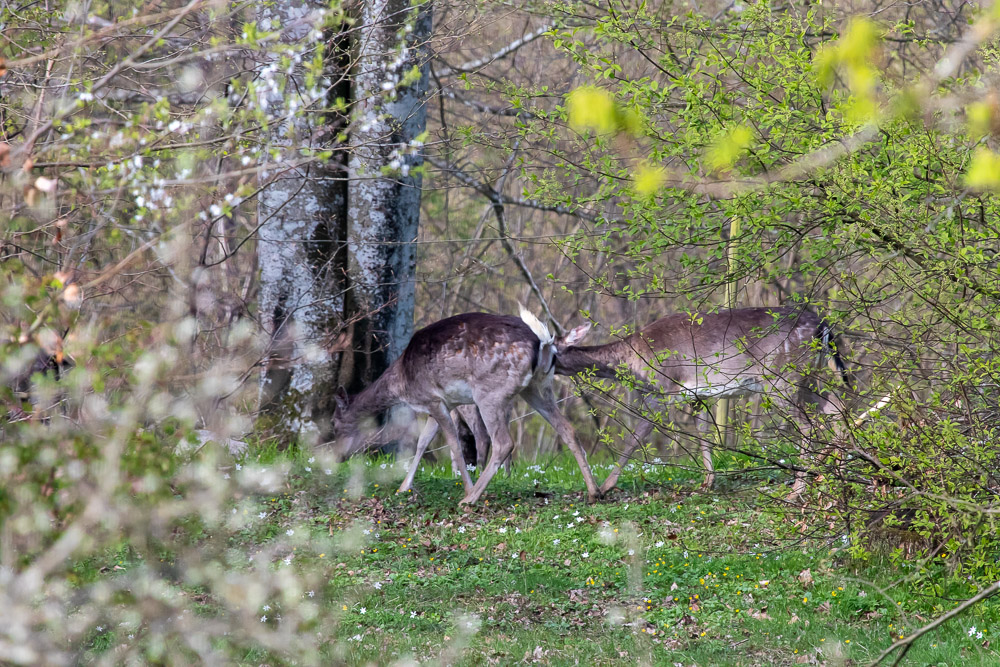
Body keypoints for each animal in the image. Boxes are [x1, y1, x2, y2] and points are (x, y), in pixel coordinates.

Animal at [332, 310, 596, 504]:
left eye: (334, 422)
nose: (336, 457)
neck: (403, 383)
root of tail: (544, 344)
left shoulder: (433, 399)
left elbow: (453, 446)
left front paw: (467, 489)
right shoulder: (443, 403)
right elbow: (422, 442)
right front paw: (403, 488)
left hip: (489, 393)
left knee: (502, 442)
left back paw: (470, 499)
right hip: (539, 387)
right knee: (567, 429)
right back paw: (594, 491)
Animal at [556, 308, 852, 500]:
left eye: (552, 347)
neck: (631, 362)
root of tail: (823, 327)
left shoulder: (662, 389)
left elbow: (636, 436)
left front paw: (604, 488)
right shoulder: (698, 394)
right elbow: (703, 432)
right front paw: (708, 482)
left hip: (781, 377)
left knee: (807, 424)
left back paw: (797, 490)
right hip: (806, 376)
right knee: (836, 407)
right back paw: (836, 470)